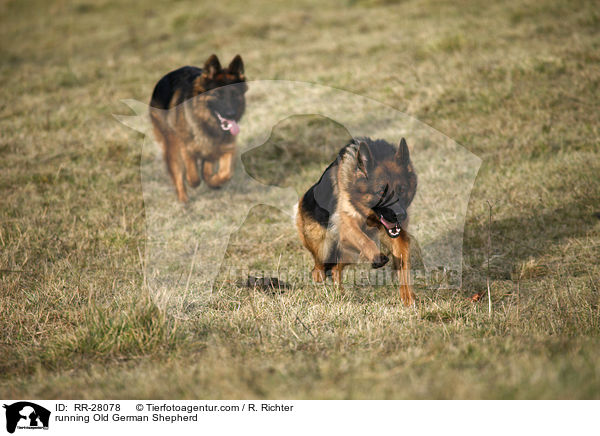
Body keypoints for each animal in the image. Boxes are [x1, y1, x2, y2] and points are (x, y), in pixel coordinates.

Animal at [149, 54, 246, 203]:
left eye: (235, 94)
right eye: (218, 95)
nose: (231, 114)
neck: (206, 123)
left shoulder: (226, 147)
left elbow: (225, 173)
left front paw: (214, 181)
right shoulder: (186, 148)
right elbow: (193, 176)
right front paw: (193, 182)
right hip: (173, 145)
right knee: (177, 172)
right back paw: (184, 200)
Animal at [296, 138, 418, 304]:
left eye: (402, 190)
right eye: (381, 192)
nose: (400, 215)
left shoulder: (399, 237)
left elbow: (403, 266)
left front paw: (408, 299)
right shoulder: (347, 226)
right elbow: (364, 240)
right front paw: (377, 257)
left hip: (348, 254)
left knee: (335, 269)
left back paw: (339, 295)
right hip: (324, 248)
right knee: (319, 270)